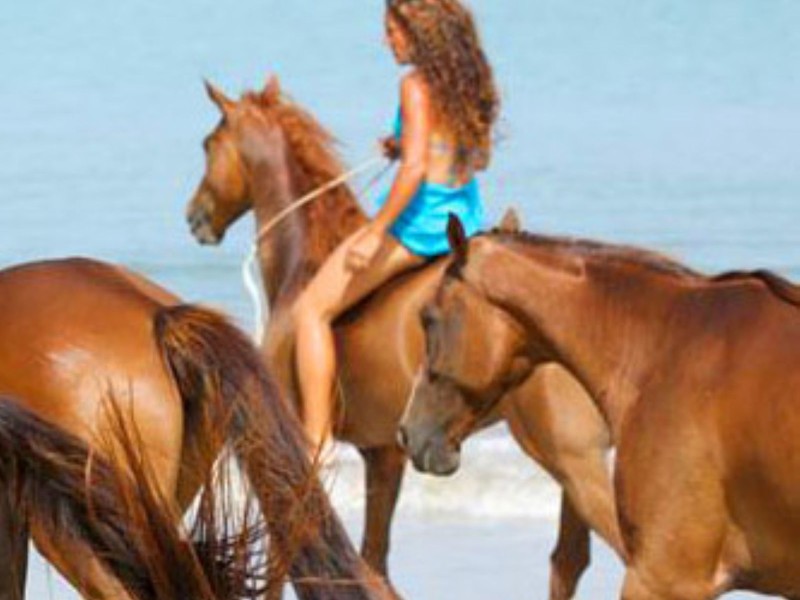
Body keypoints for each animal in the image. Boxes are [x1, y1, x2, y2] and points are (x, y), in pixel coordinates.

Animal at [185, 75, 624, 598]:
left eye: (208, 144)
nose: (194, 216)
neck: (301, 266)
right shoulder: (385, 454)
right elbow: (374, 562)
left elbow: (290, 554)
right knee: (568, 560)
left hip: (572, 457)